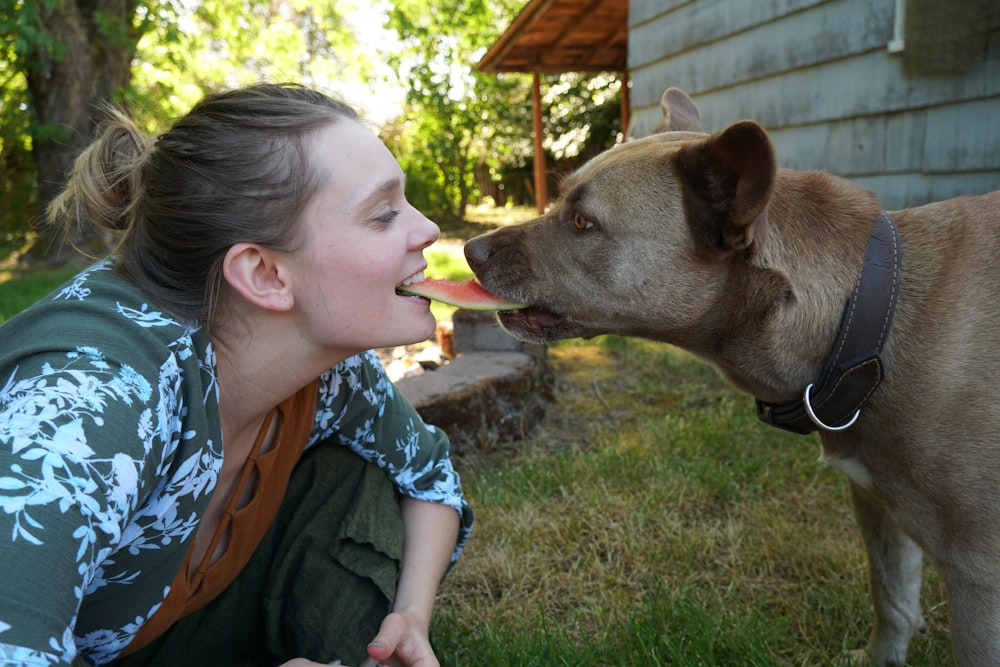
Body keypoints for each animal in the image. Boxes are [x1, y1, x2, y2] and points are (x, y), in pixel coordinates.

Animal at [464, 86, 1000, 664]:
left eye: (583, 222)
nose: (468, 252)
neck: (866, 312)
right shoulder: (877, 506)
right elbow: (892, 603)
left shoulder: (978, 577)